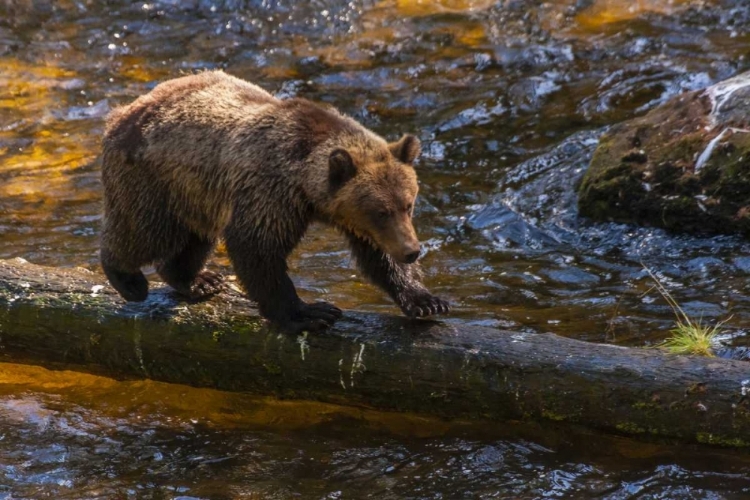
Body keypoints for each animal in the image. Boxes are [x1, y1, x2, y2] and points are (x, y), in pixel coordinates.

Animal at [102, 70, 450, 334]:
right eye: (380, 211)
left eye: (408, 204)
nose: (412, 251)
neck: (305, 185)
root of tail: (122, 111)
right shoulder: (269, 190)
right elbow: (258, 249)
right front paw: (310, 313)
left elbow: (378, 256)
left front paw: (427, 301)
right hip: (154, 177)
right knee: (144, 231)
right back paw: (128, 279)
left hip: (197, 196)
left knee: (195, 237)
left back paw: (198, 280)